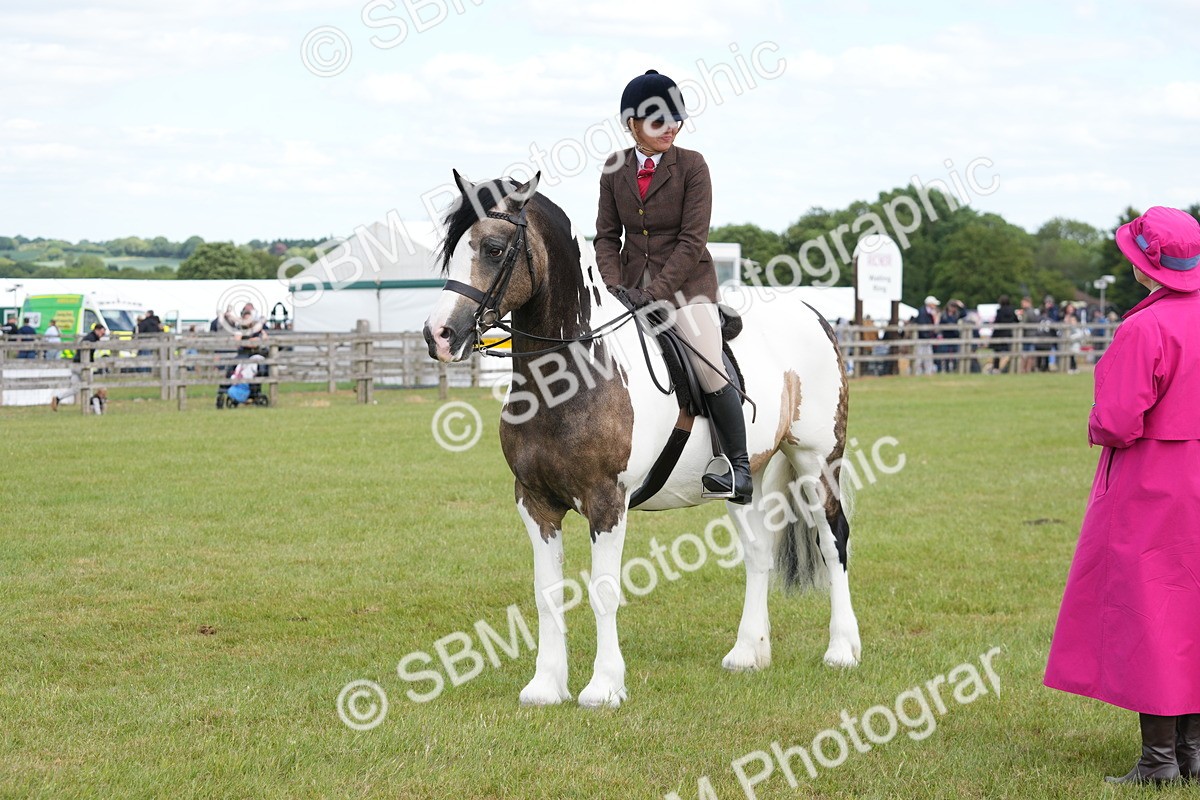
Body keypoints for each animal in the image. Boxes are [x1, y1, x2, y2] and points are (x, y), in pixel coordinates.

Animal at [423, 171, 861, 708]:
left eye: (494, 248)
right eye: (451, 250)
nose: (439, 335)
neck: (568, 376)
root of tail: (811, 313)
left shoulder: (606, 501)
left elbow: (604, 590)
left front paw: (604, 687)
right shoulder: (534, 501)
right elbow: (546, 592)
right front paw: (545, 685)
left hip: (817, 460)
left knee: (833, 539)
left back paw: (842, 649)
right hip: (747, 476)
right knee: (758, 551)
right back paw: (748, 653)